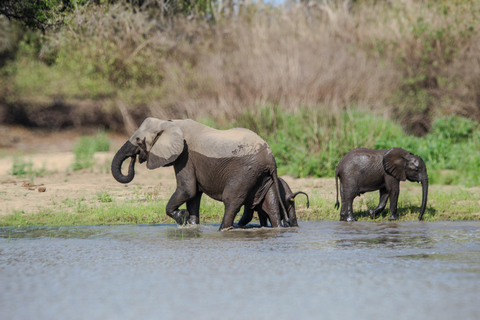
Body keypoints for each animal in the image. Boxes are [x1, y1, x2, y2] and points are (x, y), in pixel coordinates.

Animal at [110, 117, 286, 230]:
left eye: (138, 139)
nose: (134, 158)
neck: (169, 122)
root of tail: (271, 158)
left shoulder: (185, 156)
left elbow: (187, 189)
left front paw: (182, 217)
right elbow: (193, 196)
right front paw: (191, 225)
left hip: (246, 171)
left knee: (231, 200)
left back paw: (223, 230)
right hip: (262, 175)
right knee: (269, 204)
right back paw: (277, 229)